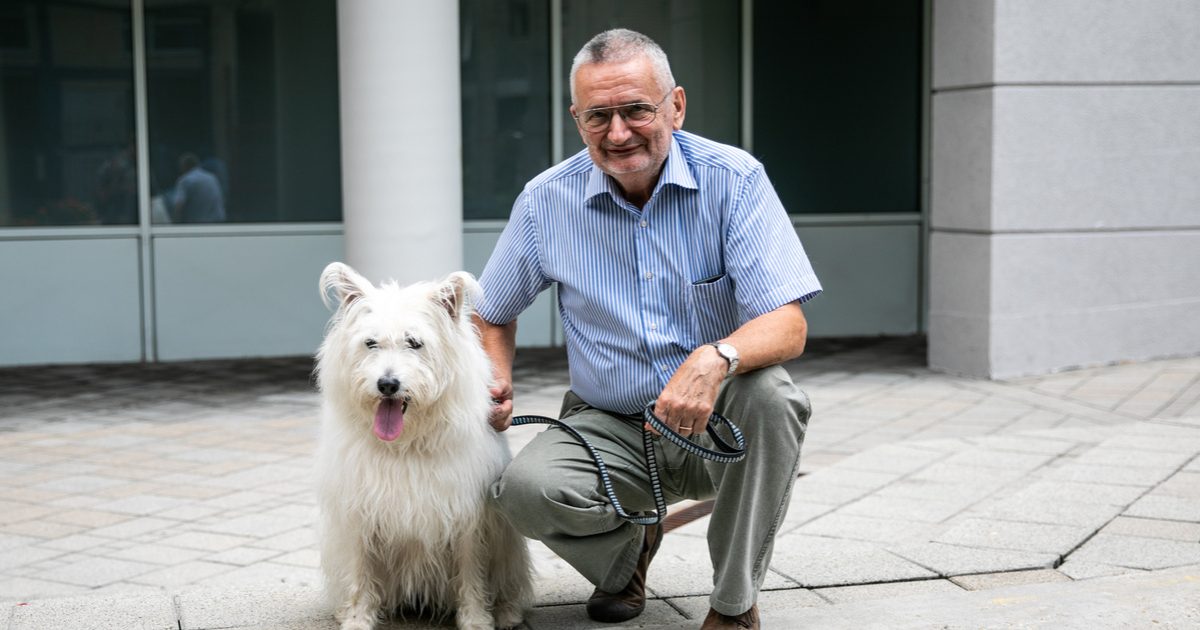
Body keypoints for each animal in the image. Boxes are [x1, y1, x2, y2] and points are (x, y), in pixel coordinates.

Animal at [314, 262, 530, 628]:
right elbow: (361, 572)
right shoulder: (359, 512)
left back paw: (507, 612)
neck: (405, 445)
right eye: (370, 343)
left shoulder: (467, 515)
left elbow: (471, 573)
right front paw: (357, 618)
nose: (387, 384)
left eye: (414, 343)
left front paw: (476, 620)